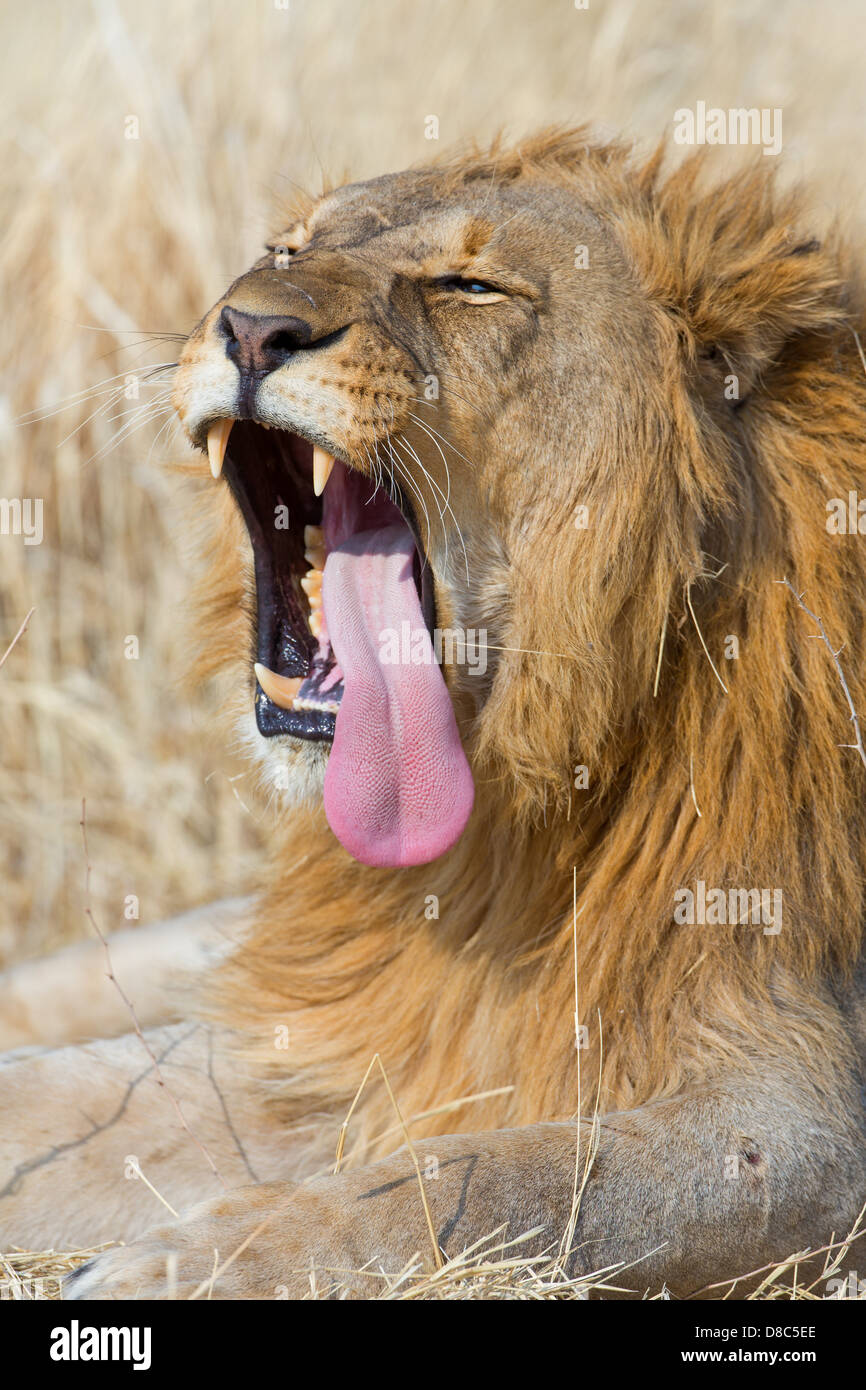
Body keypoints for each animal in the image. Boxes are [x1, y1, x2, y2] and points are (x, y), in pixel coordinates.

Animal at [2, 126, 866, 1299]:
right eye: (283, 249)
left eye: (471, 287)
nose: (250, 326)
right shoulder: (332, 1026)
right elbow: (68, 1099)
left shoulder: (802, 1127)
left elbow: (484, 1181)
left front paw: (186, 1263)